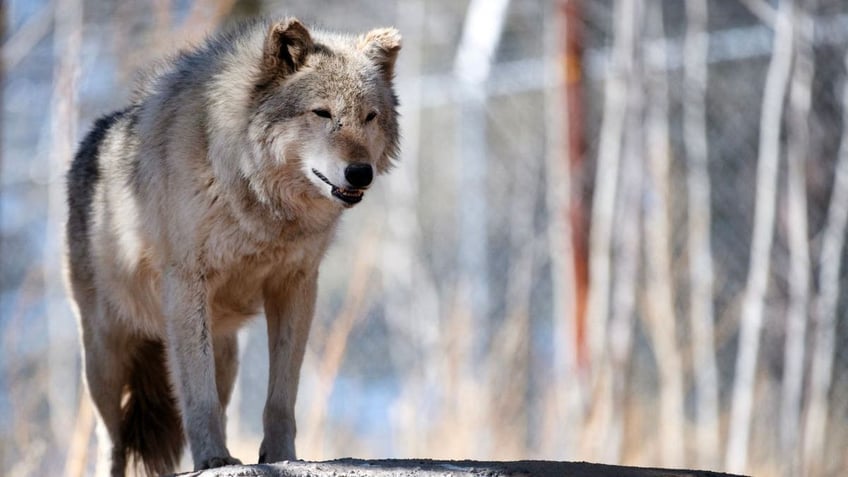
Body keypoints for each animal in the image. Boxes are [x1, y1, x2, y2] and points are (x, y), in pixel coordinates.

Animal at [63, 16, 400, 474]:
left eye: (369, 117)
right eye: (322, 113)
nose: (361, 173)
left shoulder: (296, 285)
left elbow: (281, 396)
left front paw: (280, 456)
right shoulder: (187, 284)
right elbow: (196, 396)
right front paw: (212, 458)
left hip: (225, 353)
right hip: (105, 358)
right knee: (109, 438)